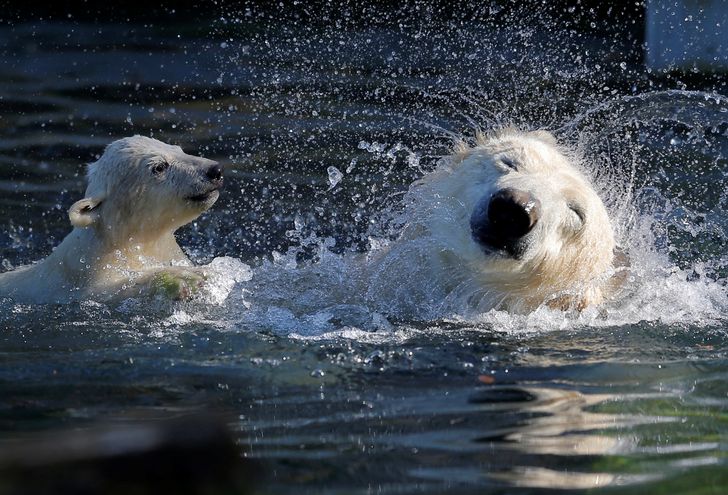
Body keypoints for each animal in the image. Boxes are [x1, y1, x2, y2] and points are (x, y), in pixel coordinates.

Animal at [0, 137, 223, 306]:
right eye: (159, 167)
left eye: (179, 149)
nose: (214, 170)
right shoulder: (80, 283)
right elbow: (115, 289)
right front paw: (184, 278)